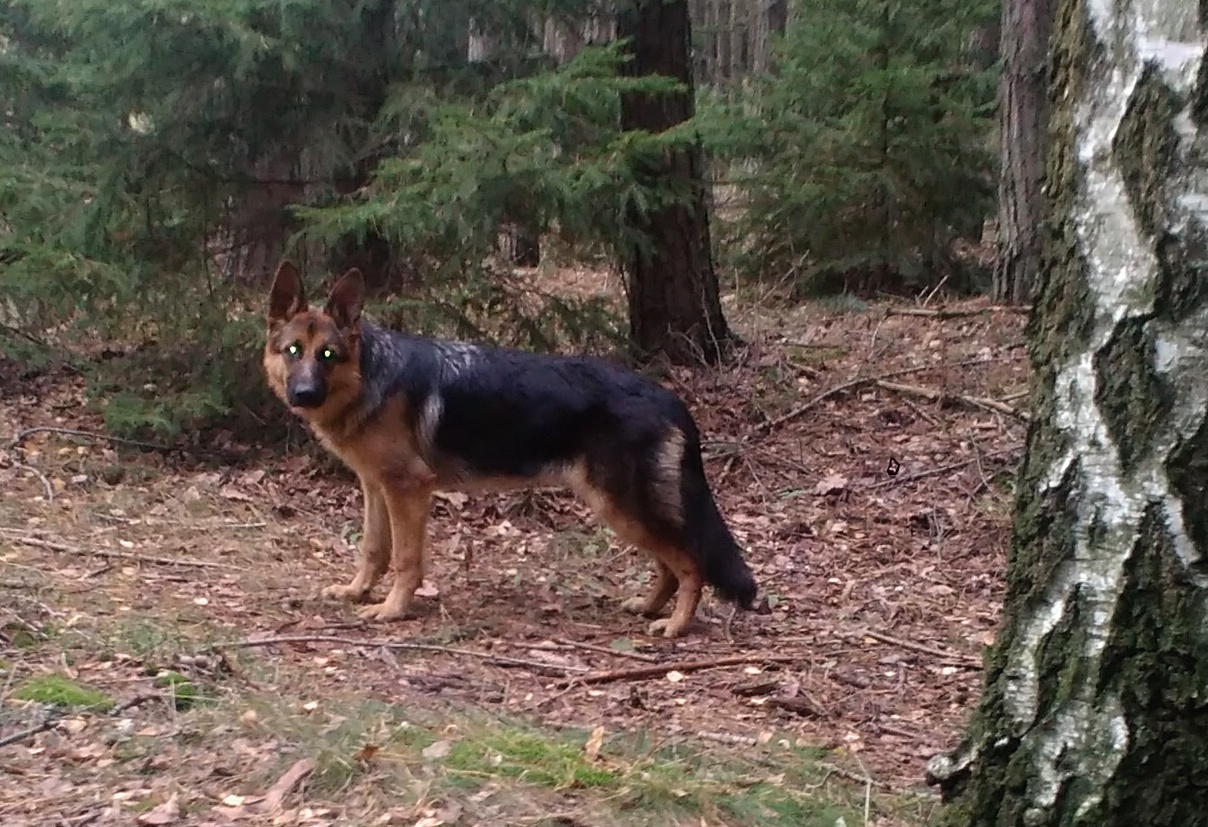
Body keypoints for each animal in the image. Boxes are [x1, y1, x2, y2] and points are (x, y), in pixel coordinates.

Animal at [262, 259, 757, 638]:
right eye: (293, 351)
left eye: (327, 355)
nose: (303, 395)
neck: (371, 375)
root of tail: (669, 398)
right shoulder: (375, 486)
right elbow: (372, 549)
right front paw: (356, 591)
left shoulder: (408, 490)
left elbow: (404, 559)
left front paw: (392, 610)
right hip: (625, 511)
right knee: (671, 564)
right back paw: (650, 607)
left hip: (621, 508)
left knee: (690, 563)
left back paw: (676, 625)